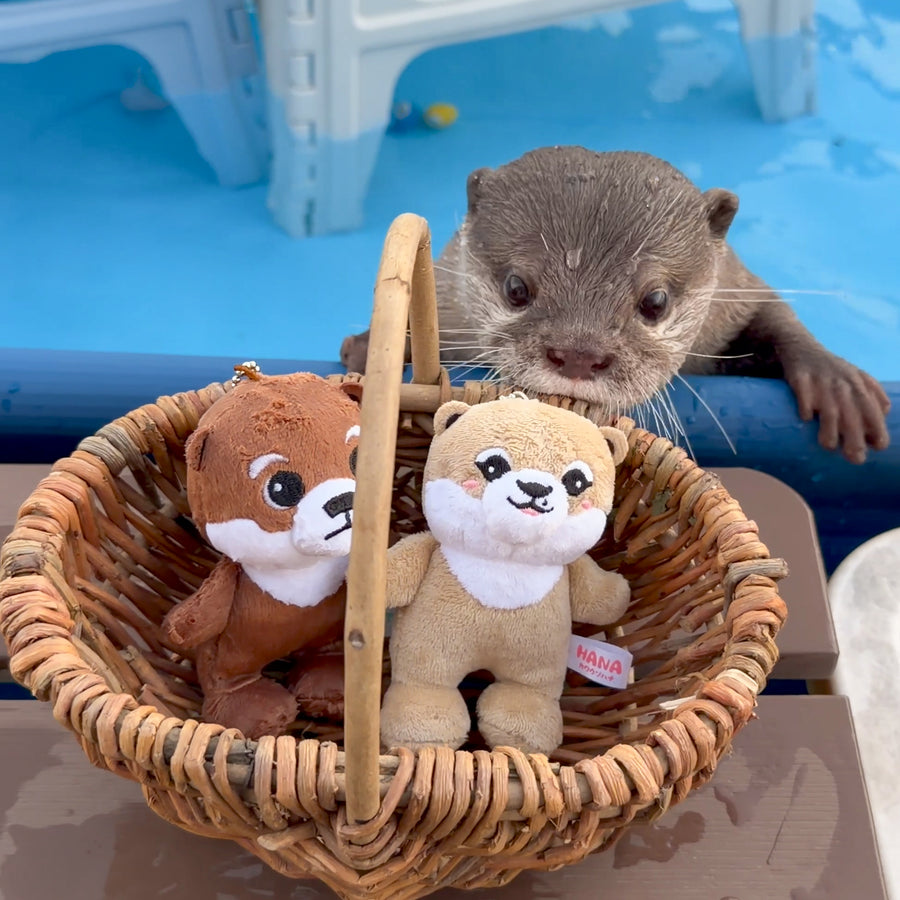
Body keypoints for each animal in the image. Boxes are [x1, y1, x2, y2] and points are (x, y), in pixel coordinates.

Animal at [341, 147, 889, 463]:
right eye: (517, 288)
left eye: (655, 300)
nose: (579, 355)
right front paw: (374, 349)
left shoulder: (734, 289)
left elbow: (773, 316)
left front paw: (834, 382)